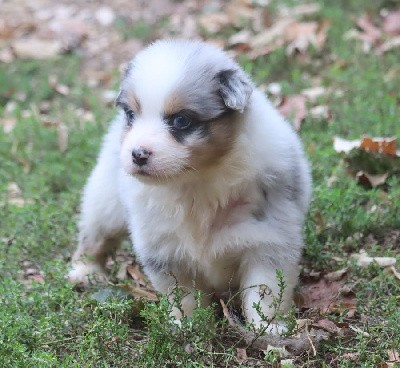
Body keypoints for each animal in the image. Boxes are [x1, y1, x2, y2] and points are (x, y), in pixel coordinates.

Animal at [69, 38, 312, 332]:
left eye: (181, 120)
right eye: (131, 115)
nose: (137, 154)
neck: (195, 181)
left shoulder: (268, 239)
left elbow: (265, 291)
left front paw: (268, 328)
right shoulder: (164, 247)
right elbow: (183, 295)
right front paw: (187, 326)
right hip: (106, 199)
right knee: (95, 234)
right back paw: (84, 270)